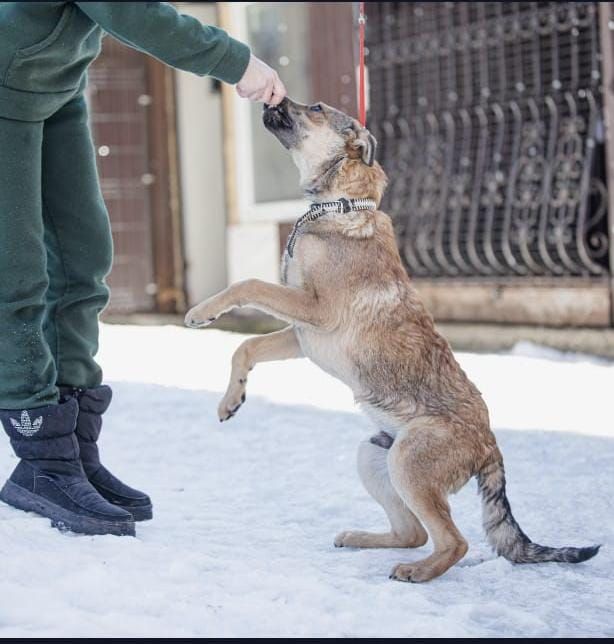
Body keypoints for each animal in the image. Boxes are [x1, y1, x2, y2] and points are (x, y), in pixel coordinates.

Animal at [184, 97, 600, 584]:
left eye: (316, 108)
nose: (274, 99)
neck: (339, 204)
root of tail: (489, 444)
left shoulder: (314, 311)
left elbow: (246, 283)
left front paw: (201, 312)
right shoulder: (302, 335)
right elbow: (244, 347)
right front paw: (231, 399)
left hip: (408, 463)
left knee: (452, 541)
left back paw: (417, 572)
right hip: (374, 454)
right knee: (412, 532)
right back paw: (362, 539)